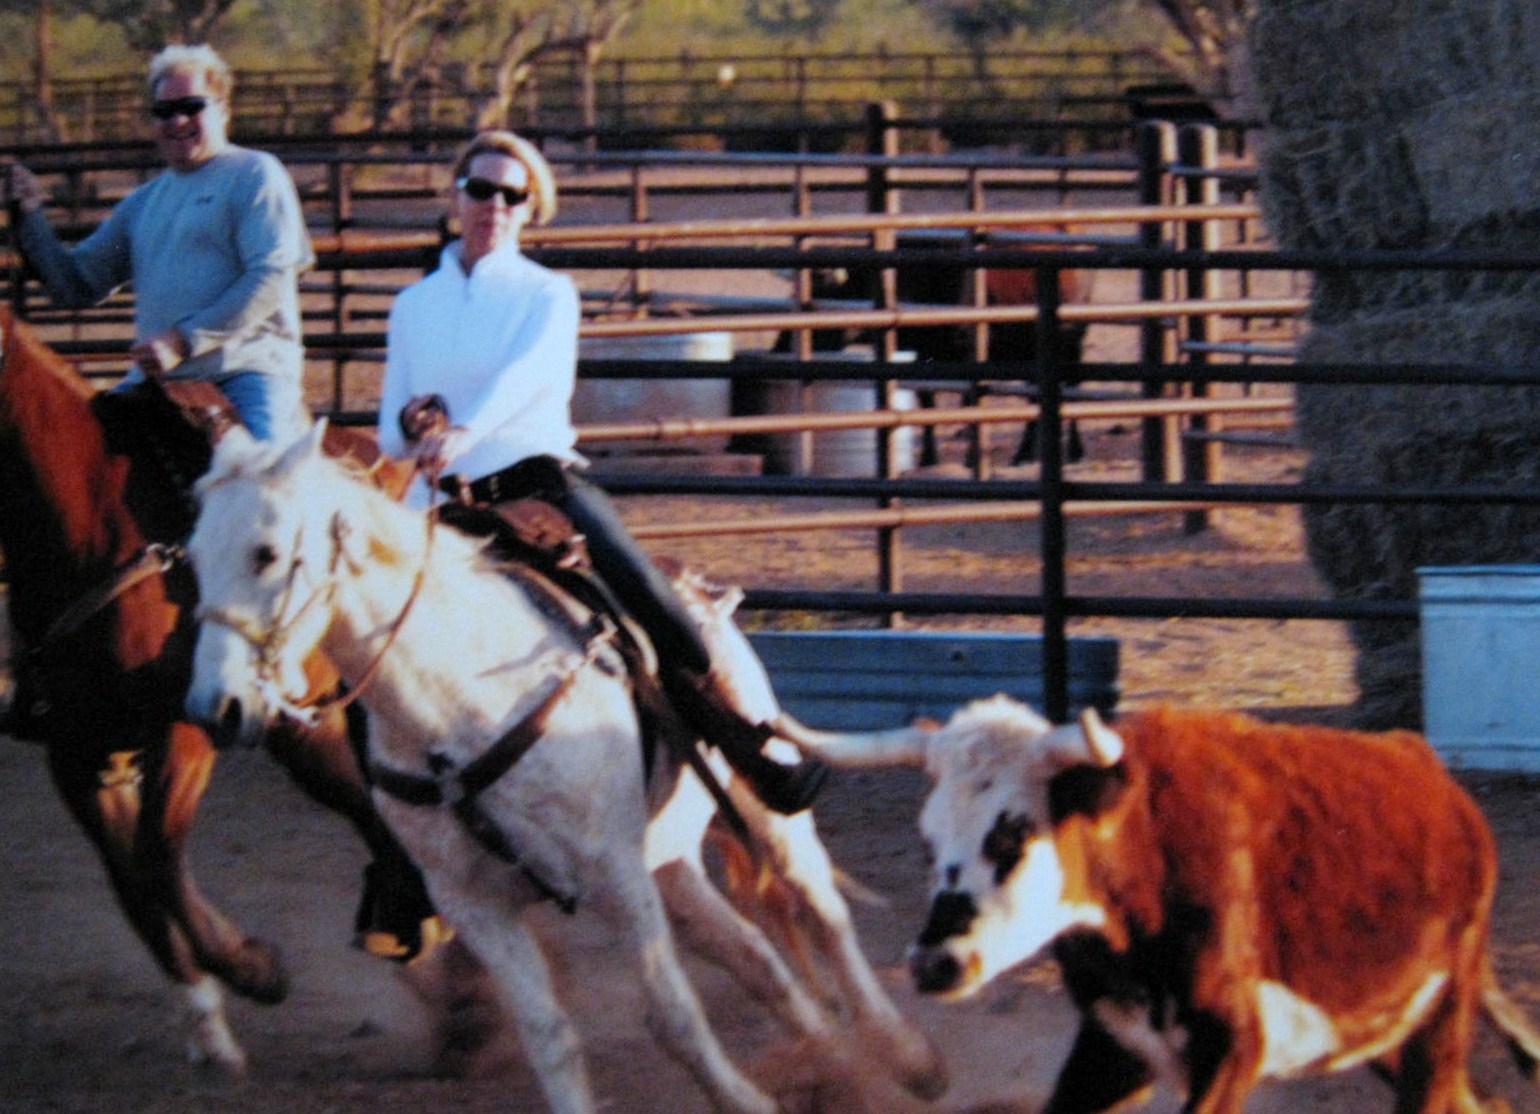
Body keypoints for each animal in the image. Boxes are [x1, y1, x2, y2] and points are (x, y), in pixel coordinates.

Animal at [0, 306, 439, 1074]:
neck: (86, 525)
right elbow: (134, 882)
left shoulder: (188, 728)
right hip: (306, 728)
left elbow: (157, 857)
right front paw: (209, 1024)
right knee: (361, 800)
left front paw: (255, 968)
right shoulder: (75, 753)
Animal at [182, 420, 946, 1114]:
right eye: (192, 555)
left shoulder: (613, 870)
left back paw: (909, 1059)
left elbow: (674, 1016)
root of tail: (703, 594)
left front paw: (750, 1101)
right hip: (668, 864)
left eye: (266, 553)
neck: (458, 706)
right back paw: (833, 1063)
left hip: (765, 812)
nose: (214, 708)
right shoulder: (477, 903)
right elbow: (550, 1036)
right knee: (758, 956)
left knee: (822, 913)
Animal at [776, 696, 1540, 1113]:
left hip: (1440, 1021)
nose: (934, 963)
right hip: (1384, 1033)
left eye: (1011, 832)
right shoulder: (1113, 1049)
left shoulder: (1229, 1049)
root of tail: (1433, 777)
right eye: (930, 839)